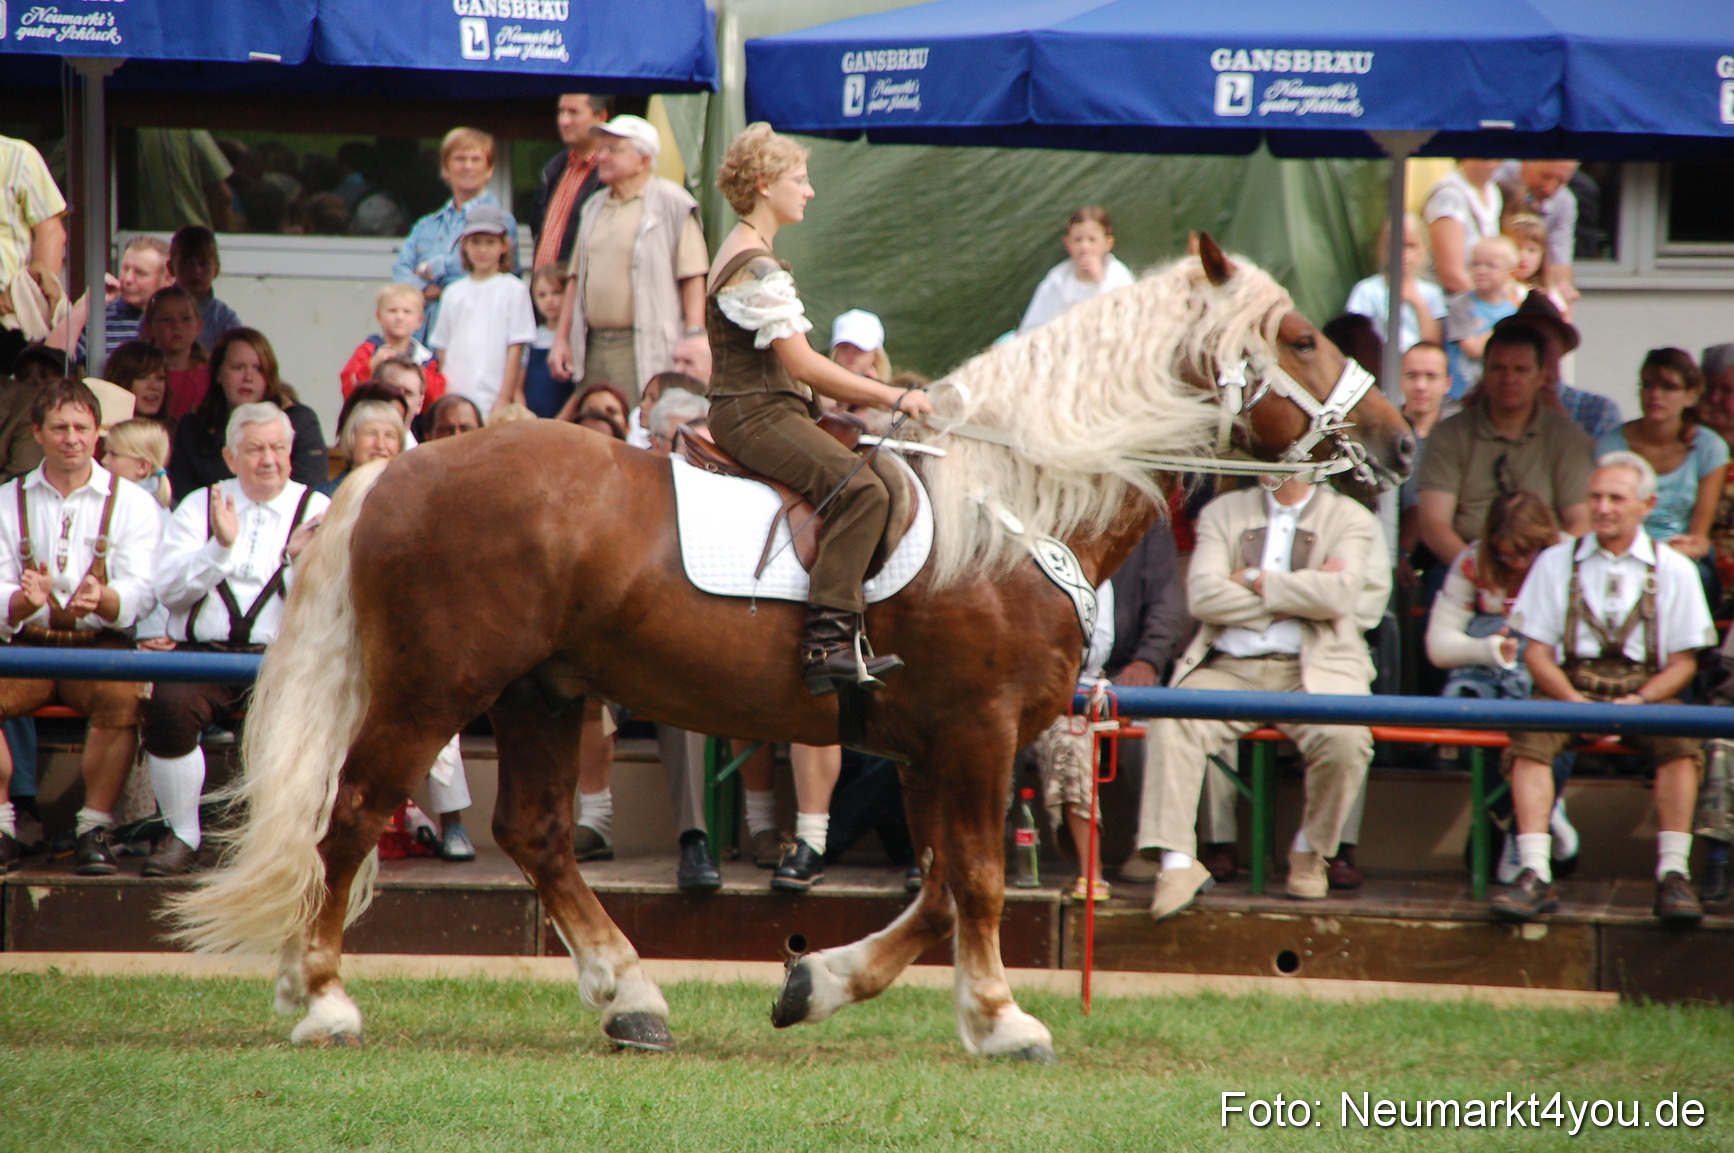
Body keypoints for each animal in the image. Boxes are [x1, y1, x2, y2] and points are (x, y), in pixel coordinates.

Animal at [169, 235, 1414, 1061]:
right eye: (1301, 337)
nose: (1400, 443)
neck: (1014, 509)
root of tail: (396, 470)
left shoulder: (930, 746)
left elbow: (938, 890)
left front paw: (817, 980)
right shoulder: (978, 733)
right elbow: (972, 882)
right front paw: (1002, 1018)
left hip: (540, 692)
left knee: (533, 833)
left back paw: (629, 995)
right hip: (438, 689)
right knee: (349, 812)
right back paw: (322, 995)